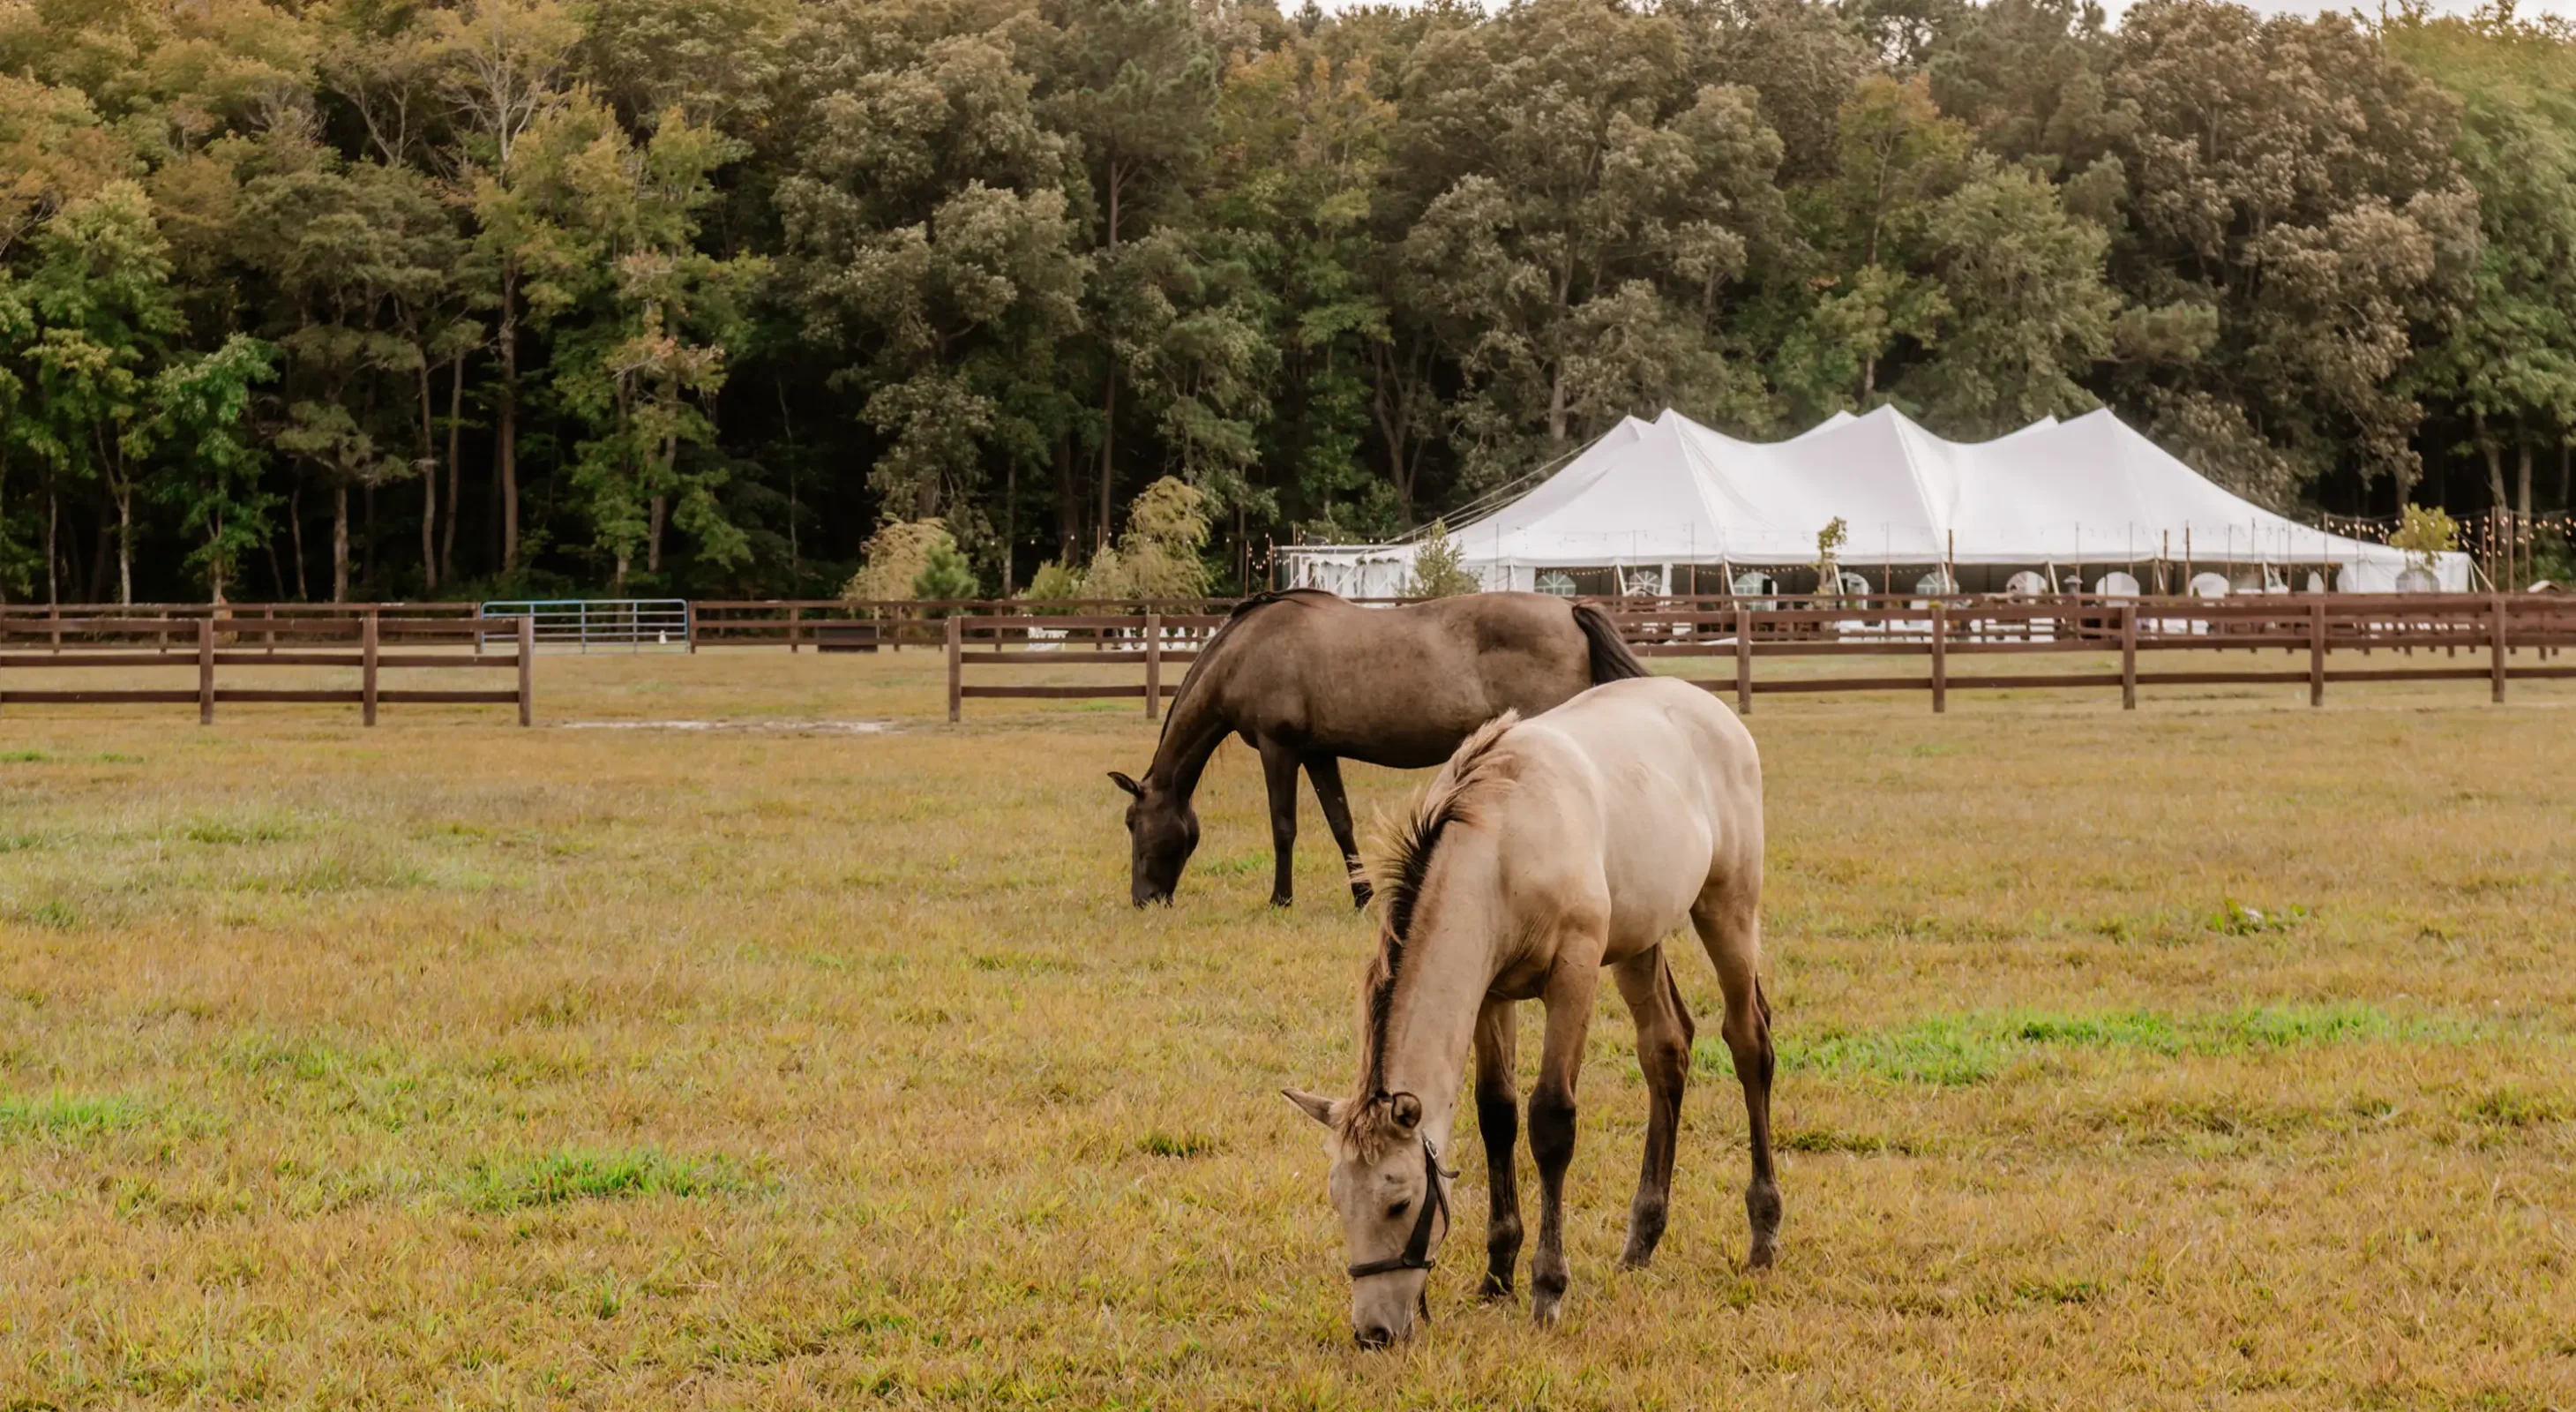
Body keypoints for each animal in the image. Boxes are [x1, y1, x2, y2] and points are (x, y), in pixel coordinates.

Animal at [1108, 589, 1647, 908]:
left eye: (1133, 823)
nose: (1144, 898)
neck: (1248, 650)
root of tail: (1570, 611)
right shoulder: (1318, 753)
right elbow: (1340, 822)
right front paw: (1363, 896)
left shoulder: (1278, 748)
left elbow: (1284, 827)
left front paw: (1280, 899)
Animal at [1281, 676, 1775, 1346]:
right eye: (1338, 1201)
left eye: (1399, 1202)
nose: (1374, 1333)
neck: (1501, 843)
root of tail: (1712, 707)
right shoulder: (1490, 995)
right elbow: (1498, 1115)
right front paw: (1497, 1273)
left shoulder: (1573, 974)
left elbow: (1550, 1122)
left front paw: (1547, 1286)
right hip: (1638, 942)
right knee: (1666, 1051)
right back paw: (1641, 1241)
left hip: (1727, 909)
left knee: (1749, 1042)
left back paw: (1764, 1232)